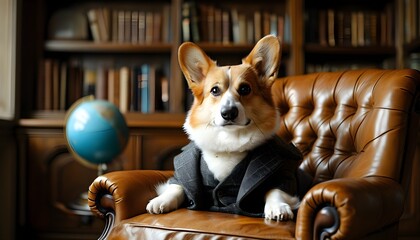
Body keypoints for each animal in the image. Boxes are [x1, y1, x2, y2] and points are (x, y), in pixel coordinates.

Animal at [146, 35, 300, 221]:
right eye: (214, 90)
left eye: (245, 89)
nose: (228, 113)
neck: (228, 142)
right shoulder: (179, 178)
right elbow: (177, 186)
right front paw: (161, 200)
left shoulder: (284, 175)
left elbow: (275, 190)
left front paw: (277, 207)